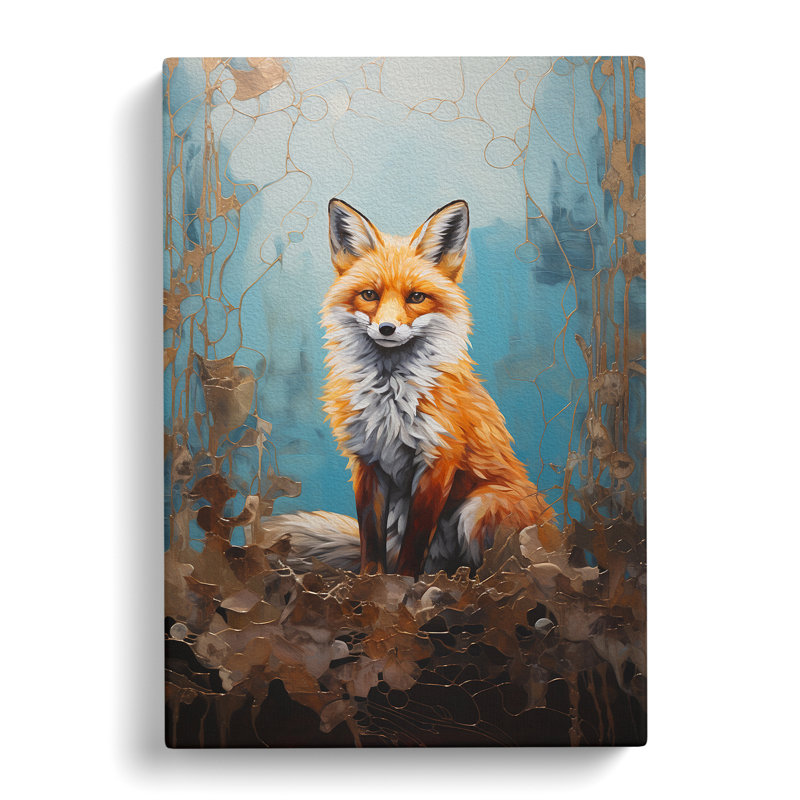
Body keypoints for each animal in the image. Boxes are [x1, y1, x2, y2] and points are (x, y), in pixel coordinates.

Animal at [261, 198, 553, 578]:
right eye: (369, 295)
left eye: (416, 297)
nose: (387, 328)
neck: (390, 395)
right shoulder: (367, 461)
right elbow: (370, 540)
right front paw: (372, 582)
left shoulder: (437, 459)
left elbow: (416, 540)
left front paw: (402, 583)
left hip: (480, 507)